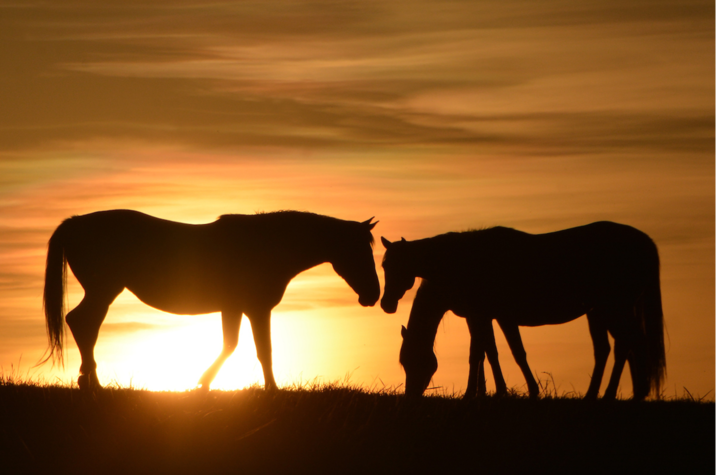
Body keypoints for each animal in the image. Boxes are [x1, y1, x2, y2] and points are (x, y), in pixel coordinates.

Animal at [43, 210, 382, 392]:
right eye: (359, 250)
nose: (373, 295)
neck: (268, 245)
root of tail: (74, 223)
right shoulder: (256, 309)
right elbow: (262, 351)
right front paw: (272, 390)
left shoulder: (234, 308)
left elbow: (231, 345)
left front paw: (204, 383)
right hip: (103, 289)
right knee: (83, 323)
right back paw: (92, 383)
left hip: (103, 290)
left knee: (83, 324)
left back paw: (89, 381)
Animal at [382, 223, 668, 402]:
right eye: (384, 265)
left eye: (392, 265)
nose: (386, 304)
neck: (461, 260)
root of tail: (645, 242)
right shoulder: (483, 316)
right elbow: (489, 353)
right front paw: (489, 392)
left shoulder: (488, 316)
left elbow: (491, 354)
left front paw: (486, 393)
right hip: (605, 311)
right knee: (614, 348)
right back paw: (603, 395)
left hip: (614, 309)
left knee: (629, 344)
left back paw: (627, 394)